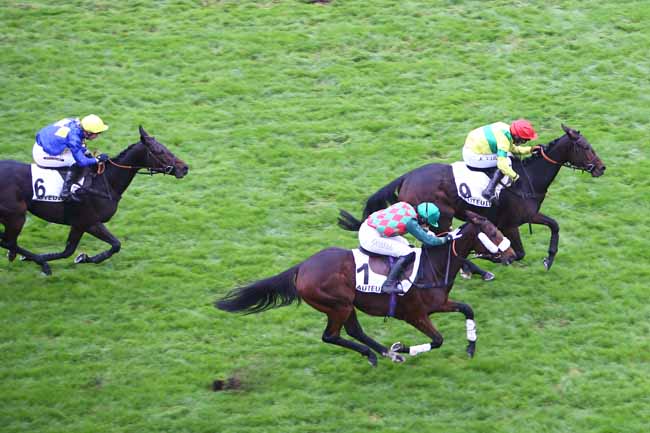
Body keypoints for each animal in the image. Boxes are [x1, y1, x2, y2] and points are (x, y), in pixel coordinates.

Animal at [0, 125, 187, 274]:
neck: (105, 182)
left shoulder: (80, 224)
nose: (184, 168)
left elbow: (72, 250)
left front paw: (82, 257)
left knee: (7, 241)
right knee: (8, 242)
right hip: (16, 217)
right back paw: (38, 262)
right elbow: (112, 245)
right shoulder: (88, 222)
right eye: (159, 151)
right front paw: (81, 258)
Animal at [215, 211, 512, 366]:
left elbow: (468, 309)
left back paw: (384, 353)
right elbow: (438, 340)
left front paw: (471, 347)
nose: (511, 254)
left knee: (354, 330)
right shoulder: (415, 314)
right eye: (493, 233)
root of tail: (302, 268)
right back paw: (381, 353)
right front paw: (403, 347)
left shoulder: (439, 304)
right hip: (338, 304)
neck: (432, 266)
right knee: (331, 336)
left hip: (348, 305)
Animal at [342, 123, 604, 270]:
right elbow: (518, 252)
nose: (602, 168)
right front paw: (489, 255)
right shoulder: (511, 223)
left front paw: (549, 258)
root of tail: (406, 177)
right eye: (586, 147)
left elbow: (554, 225)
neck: (529, 179)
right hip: (441, 217)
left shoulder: (528, 216)